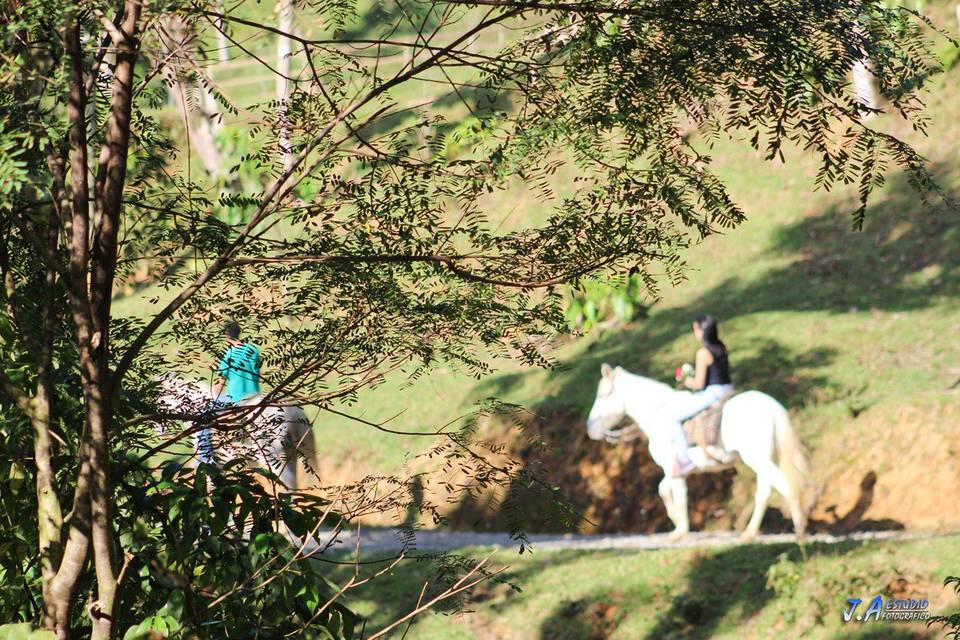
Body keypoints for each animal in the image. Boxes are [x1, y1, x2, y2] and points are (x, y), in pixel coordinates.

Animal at [588, 364, 808, 540]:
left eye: (602, 395)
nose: (590, 429)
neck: (659, 415)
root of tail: (772, 406)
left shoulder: (675, 470)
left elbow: (678, 496)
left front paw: (681, 530)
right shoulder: (672, 471)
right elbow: (662, 490)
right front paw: (676, 521)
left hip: (759, 460)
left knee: (786, 487)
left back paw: (799, 529)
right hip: (764, 461)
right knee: (764, 492)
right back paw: (750, 532)